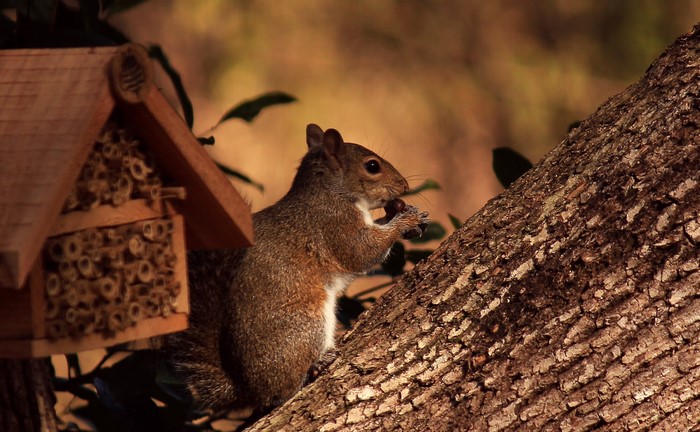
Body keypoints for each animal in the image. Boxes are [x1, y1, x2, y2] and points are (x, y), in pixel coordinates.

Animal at [165, 124, 430, 414]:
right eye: (372, 166)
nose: (404, 186)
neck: (329, 191)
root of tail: (246, 388)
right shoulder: (334, 223)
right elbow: (361, 251)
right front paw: (405, 221)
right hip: (307, 324)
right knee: (281, 393)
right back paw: (314, 367)